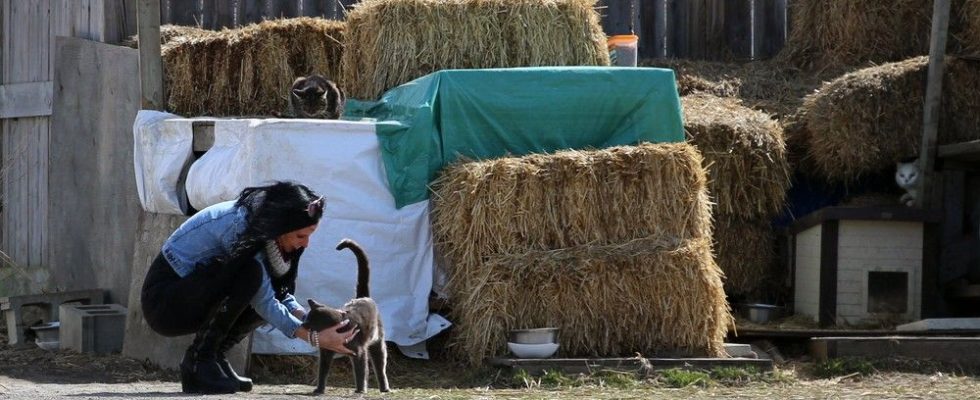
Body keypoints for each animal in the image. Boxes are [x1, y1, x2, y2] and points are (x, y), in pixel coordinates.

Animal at [304, 238, 388, 394]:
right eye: (306, 317)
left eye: (310, 320)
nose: (302, 324)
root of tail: (363, 297)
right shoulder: (325, 353)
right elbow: (322, 372)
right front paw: (319, 389)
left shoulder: (359, 352)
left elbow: (361, 372)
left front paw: (360, 390)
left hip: (377, 341)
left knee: (380, 366)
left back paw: (385, 388)